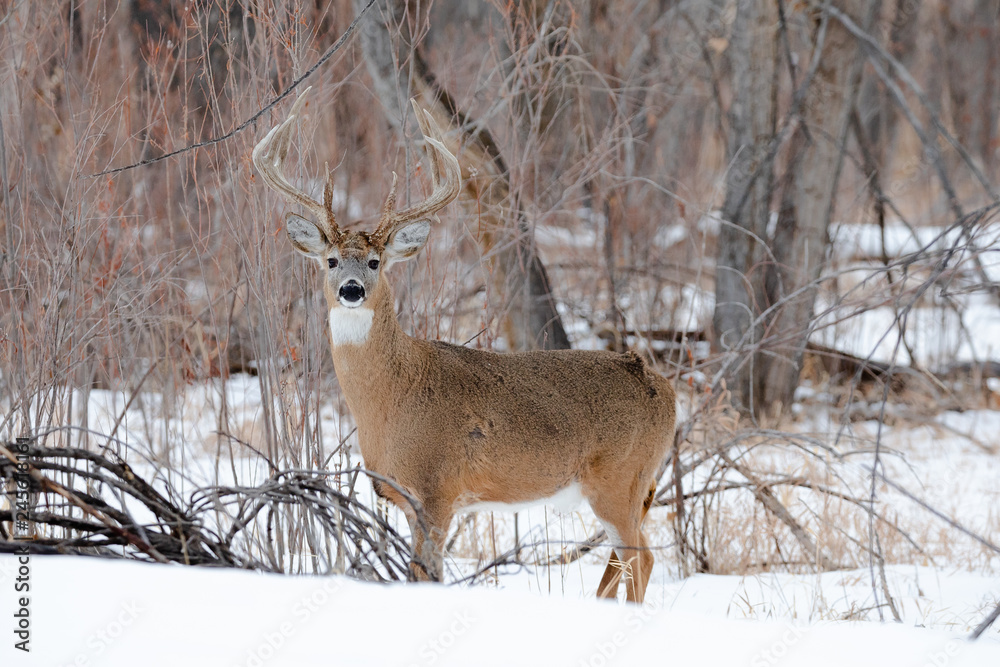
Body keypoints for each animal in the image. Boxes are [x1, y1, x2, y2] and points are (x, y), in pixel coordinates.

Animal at [251, 88, 676, 603]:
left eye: (375, 262)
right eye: (331, 260)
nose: (351, 290)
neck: (393, 398)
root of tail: (665, 389)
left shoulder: (437, 489)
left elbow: (427, 576)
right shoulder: (408, 499)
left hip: (621, 479)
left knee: (642, 559)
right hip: (630, 487)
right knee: (618, 562)